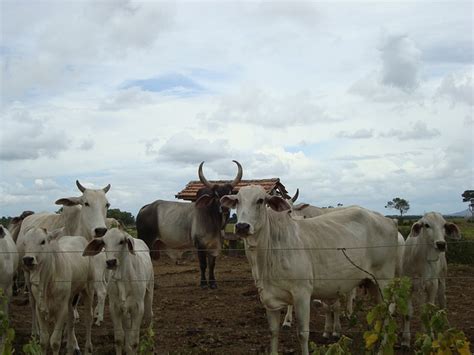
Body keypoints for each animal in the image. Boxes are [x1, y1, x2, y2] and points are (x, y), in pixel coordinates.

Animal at [220, 186, 398, 355]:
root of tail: (390, 221)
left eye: (260, 200)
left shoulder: (302, 294)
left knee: (388, 314)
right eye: (237, 201)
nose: (242, 226)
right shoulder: (269, 299)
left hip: (384, 281)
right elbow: (273, 332)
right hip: (371, 283)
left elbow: (303, 334)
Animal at [400, 213, 460, 350]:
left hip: (442, 280)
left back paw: (445, 326)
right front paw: (405, 340)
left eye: (444, 225)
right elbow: (408, 313)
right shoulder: (409, 285)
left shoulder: (433, 285)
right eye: (426, 225)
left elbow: (429, 312)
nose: (441, 244)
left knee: (442, 301)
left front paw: (429, 336)